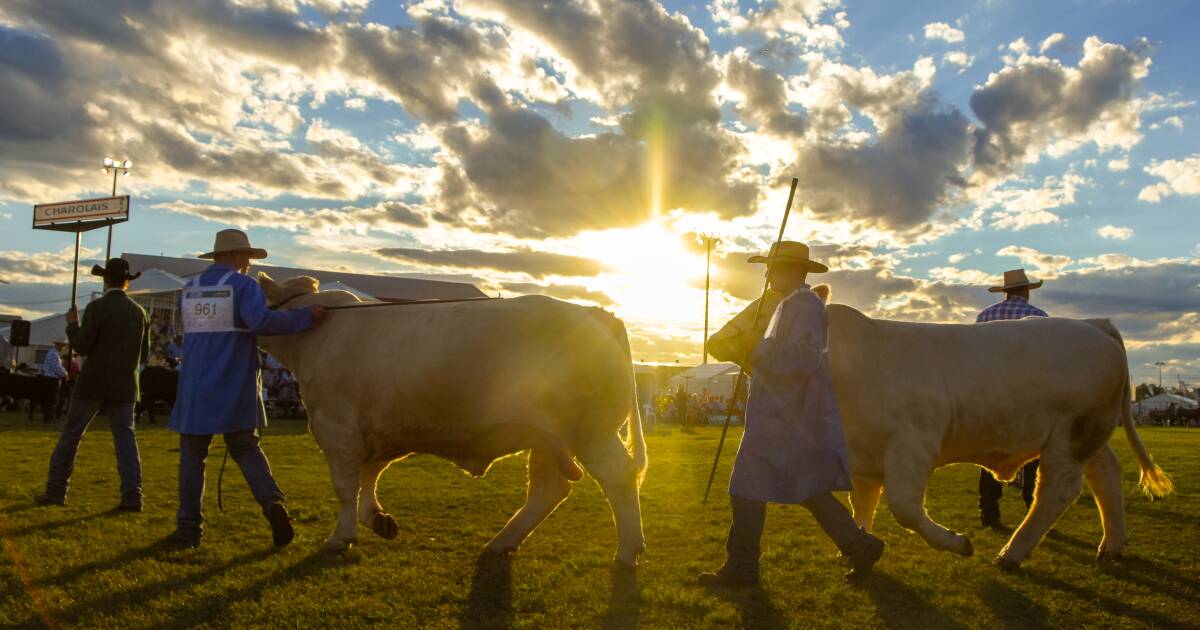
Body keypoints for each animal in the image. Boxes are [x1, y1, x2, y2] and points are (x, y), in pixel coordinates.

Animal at [255, 273, 648, 564]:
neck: (314, 335)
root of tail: (595, 312)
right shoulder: (384, 430)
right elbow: (369, 474)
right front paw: (377, 519)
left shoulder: (336, 428)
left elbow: (345, 486)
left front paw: (341, 536)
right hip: (550, 439)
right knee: (548, 489)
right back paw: (501, 542)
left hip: (591, 431)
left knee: (618, 477)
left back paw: (628, 552)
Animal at [710, 296, 1171, 568]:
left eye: (765, 309)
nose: (713, 339)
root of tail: (1093, 323)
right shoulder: (862, 453)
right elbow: (863, 503)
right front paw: (857, 548)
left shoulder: (912, 443)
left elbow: (904, 508)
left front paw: (955, 542)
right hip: (1089, 433)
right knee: (1106, 474)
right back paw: (1112, 544)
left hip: (1071, 433)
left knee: (1056, 490)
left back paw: (1013, 552)